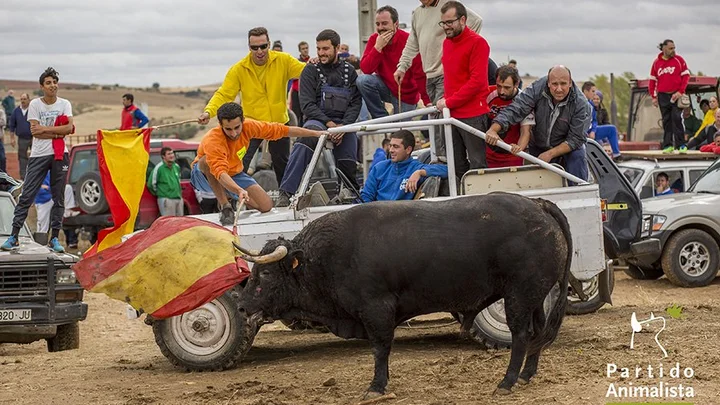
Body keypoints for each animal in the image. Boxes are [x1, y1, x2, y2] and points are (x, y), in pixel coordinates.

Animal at [236, 193, 572, 394]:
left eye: (265, 273)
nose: (240, 306)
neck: (329, 254)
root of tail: (537, 204)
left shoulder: (376, 309)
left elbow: (380, 348)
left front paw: (377, 386)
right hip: (534, 298)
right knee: (537, 333)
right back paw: (527, 374)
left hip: (519, 297)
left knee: (521, 335)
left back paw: (508, 380)